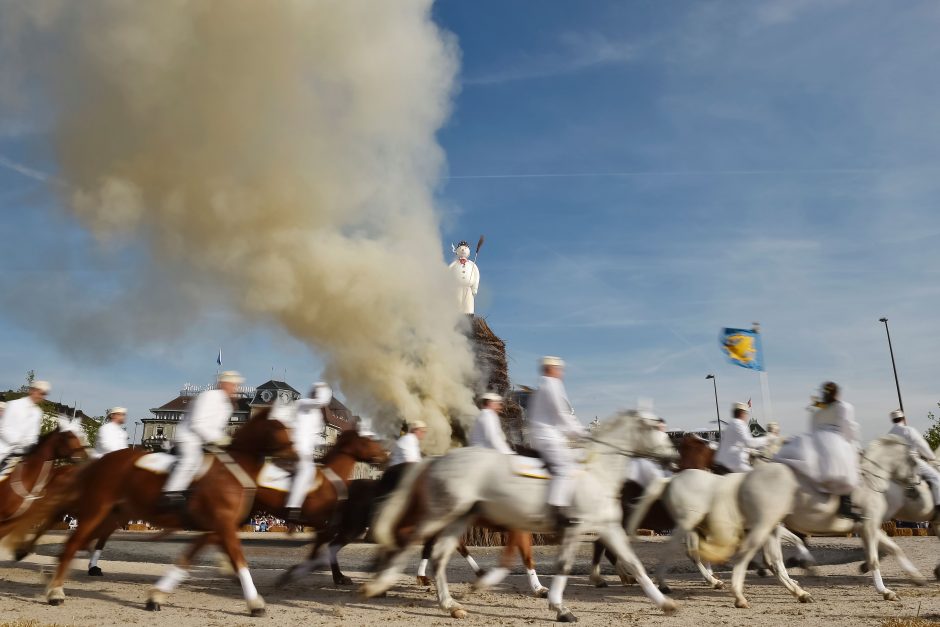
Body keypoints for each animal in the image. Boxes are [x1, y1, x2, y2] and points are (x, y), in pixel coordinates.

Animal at [10, 414, 298, 616]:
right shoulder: (223, 524)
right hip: (96, 509)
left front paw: (156, 596)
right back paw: (55, 590)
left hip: (113, 511)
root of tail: (101, 461)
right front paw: (255, 602)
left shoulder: (216, 526)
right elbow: (239, 559)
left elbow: (189, 558)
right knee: (71, 541)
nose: (297, 454)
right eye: (280, 429)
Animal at [364, 410, 680, 620]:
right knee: (409, 540)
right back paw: (380, 583)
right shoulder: (573, 527)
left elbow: (635, 564)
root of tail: (437, 460)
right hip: (441, 513)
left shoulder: (607, 527)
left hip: (457, 519)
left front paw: (664, 603)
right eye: (658, 428)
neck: (595, 471)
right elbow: (561, 565)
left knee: (439, 556)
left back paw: (450, 604)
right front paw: (559, 606)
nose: (674, 458)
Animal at [736, 436, 916, 608]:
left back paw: (800, 592)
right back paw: (742, 595)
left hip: (771, 527)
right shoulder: (869, 526)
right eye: (914, 461)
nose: (915, 486)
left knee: (773, 562)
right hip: (765, 525)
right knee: (755, 555)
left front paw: (916, 576)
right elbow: (874, 559)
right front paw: (885, 591)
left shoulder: (867, 526)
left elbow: (894, 548)